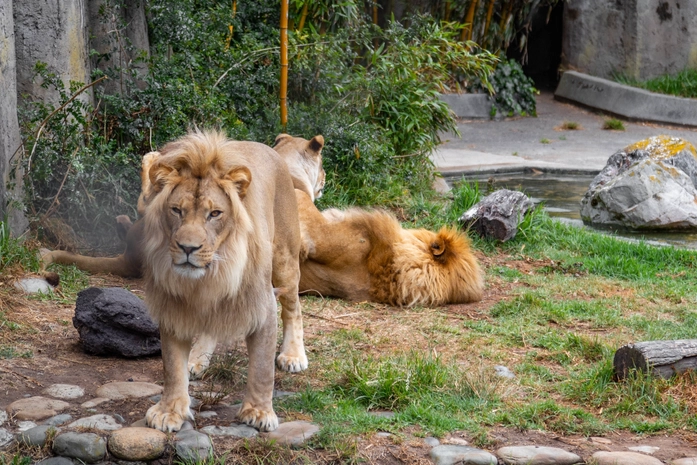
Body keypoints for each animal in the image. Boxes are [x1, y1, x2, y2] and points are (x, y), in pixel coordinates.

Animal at [141, 130, 304, 432]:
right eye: (176, 210)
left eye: (215, 213)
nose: (188, 248)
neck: (210, 276)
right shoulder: (172, 305)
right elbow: (172, 365)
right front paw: (169, 411)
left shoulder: (262, 305)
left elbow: (262, 367)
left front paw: (259, 412)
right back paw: (196, 359)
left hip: (285, 260)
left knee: (293, 306)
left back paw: (294, 355)